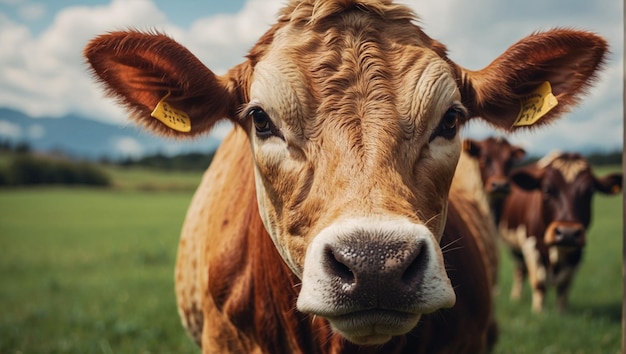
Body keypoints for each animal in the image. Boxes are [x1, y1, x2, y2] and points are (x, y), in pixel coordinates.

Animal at [498, 151, 620, 312]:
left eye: (590, 191)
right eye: (546, 189)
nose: (568, 233)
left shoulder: (577, 253)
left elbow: (564, 286)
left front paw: (560, 312)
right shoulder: (531, 246)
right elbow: (539, 283)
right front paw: (538, 312)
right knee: (520, 269)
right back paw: (516, 297)